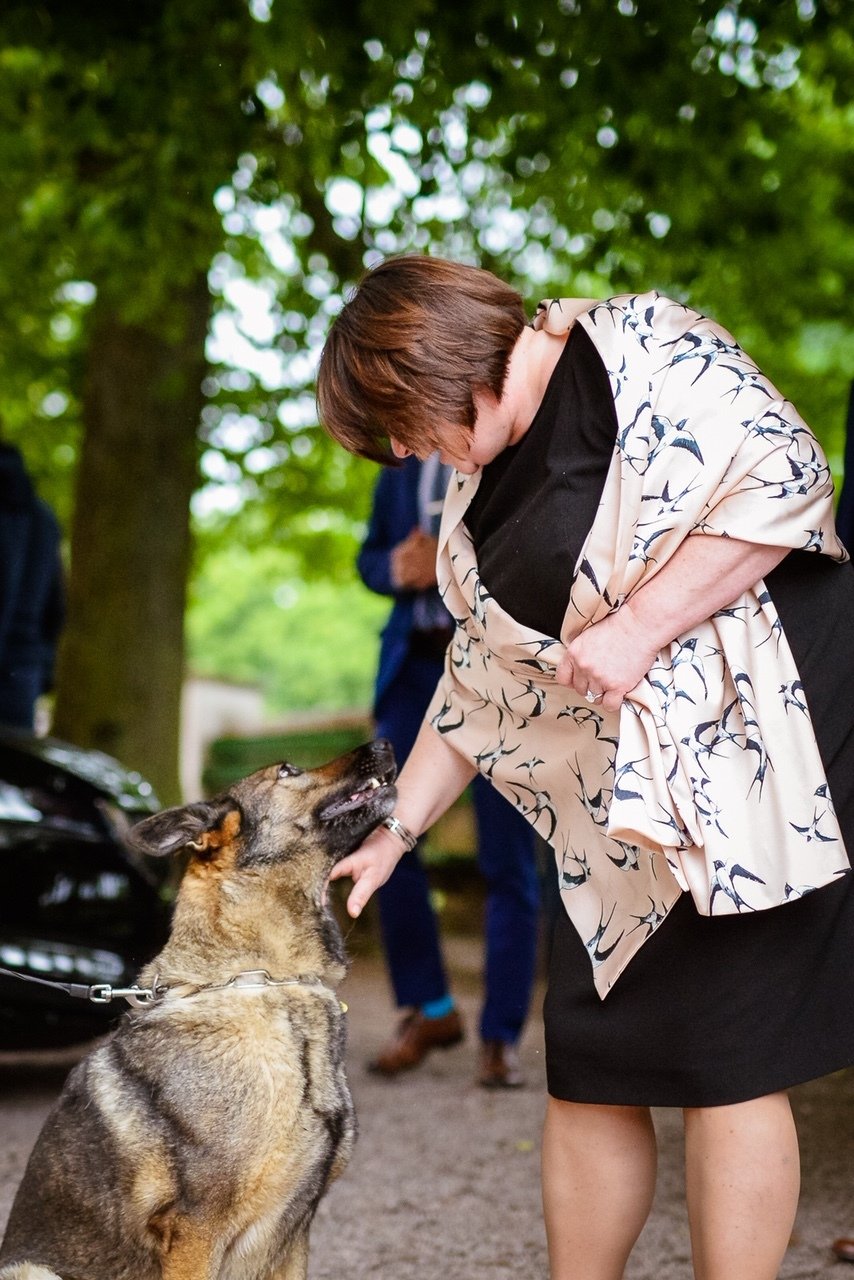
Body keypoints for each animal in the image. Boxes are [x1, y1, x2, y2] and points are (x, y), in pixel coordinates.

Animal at [0, 742, 399, 1280]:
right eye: (288, 771)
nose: (385, 745)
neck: (263, 980)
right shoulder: (197, 1230)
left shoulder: (294, 1238)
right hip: (32, 1269)